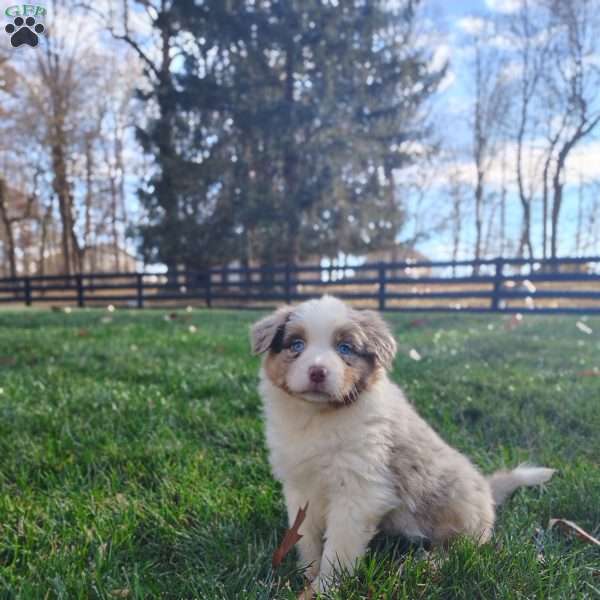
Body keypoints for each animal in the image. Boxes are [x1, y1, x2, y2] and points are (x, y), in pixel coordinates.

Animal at [251, 296, 556, 592]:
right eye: (297, 345)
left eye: (345, 348)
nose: (317, 372)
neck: (319, 416)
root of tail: (488, 495)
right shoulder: (301, 485)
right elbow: (306, 534)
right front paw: (307, 572)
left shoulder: (359, 490)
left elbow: (338, 548)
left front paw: (325, 587)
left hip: (457, 508)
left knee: (460, 549)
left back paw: (424, 565)